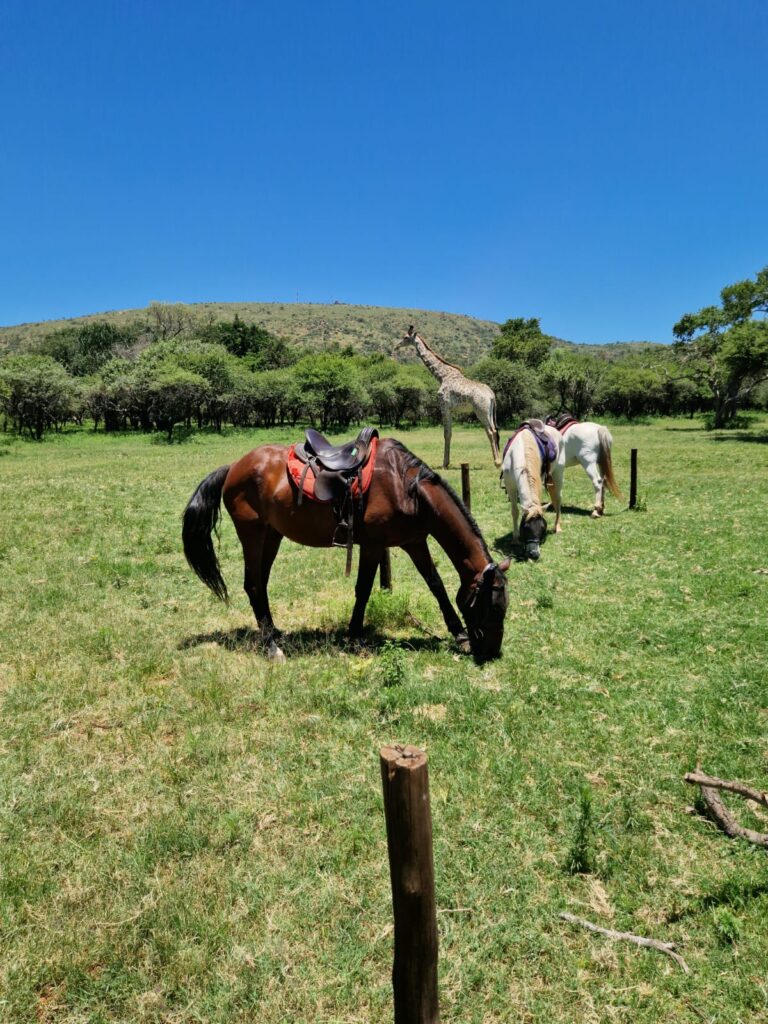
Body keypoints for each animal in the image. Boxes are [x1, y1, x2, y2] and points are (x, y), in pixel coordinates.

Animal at [182, 434, 512, 659]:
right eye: (490, 607)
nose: (492, 652)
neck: (406, 487)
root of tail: (234, 467)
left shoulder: (414, 542)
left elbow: (436, 584)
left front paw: (459, 634)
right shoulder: (374, 545)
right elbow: (363, 589)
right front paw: (354, 636)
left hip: (271, 536)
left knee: (260, 584)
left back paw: (273, 632)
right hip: (252, 534)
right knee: (252, 584)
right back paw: (272, 647)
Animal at [397, 327, 505, 468]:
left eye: (405, 337)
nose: (396, 346)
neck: (442, 376)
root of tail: (491, 395)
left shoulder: (444, 406)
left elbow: (446, 434)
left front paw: (445, 463)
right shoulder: (450, 409)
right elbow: (450, 433)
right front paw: (447, 462)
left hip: (481, 411)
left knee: (491, 432)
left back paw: (497, 462)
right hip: (490, 412)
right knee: (495, 431)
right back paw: (500, 460)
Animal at [499, 419, 565, 561]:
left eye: (543, 527)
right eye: (525, 527)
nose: (534, 554)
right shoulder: (510, 486)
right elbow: (515, 511)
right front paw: (515, 539)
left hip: (558, 473)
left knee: (558, 500)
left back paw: (557, 527)